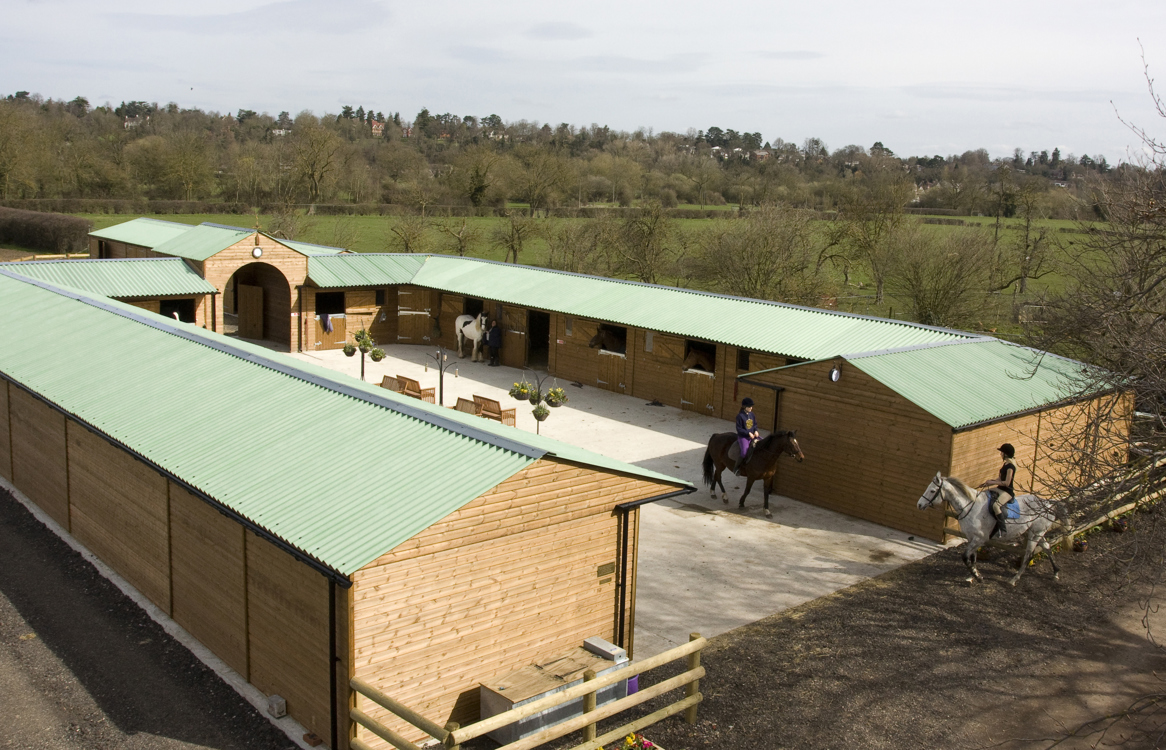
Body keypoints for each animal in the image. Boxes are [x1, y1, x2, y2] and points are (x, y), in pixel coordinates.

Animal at [914, 475, 1068, 587]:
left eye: (932, 490)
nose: (919, 505)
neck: (970, 506)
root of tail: (1047, 503)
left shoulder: (979, 539)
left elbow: (965, 556)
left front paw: (978, 577)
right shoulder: (971, 537)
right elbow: (972, 558)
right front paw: (972, 576)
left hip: (1035, 534)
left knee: (1028, 555)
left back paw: (1014, 579)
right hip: (1035, 533)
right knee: (1047, 547)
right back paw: (1056, 572)